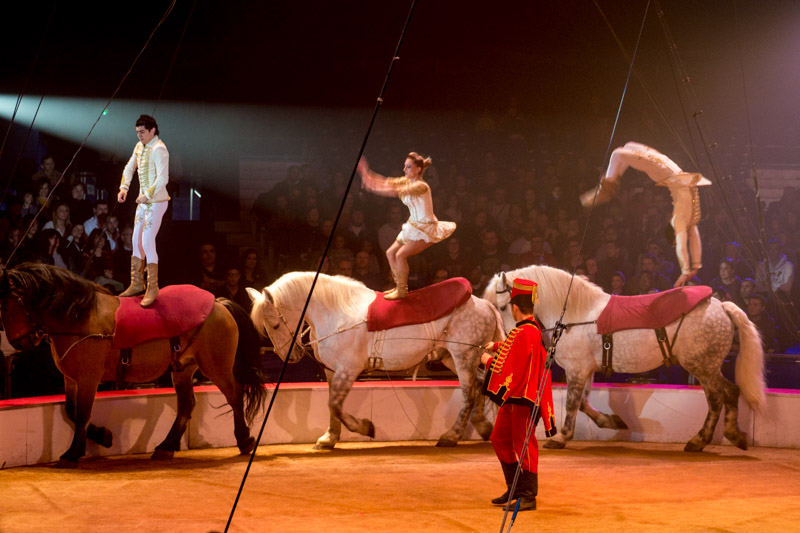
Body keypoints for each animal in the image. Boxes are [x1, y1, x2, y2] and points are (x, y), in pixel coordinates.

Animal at [0, 264, 268, 468]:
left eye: (6, 307)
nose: (18, 342)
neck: (81, 318)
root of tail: (218, 303)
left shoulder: (89, 378)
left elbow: (82, 414)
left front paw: (72, 453)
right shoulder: (72, 379)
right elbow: (71, 410)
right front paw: (102, 436)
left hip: (216, 366)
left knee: (234, 394)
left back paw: (245, 439)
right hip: (183, 367)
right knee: (186, 405)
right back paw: (166, 447)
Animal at [247, 270, 504, 448]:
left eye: (275, 324)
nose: (288, 356)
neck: (337, 313)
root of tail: (485, 304)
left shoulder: (347, 370)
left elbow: (335, 404)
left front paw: (364, 427)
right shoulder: (332, 371)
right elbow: (332, 405)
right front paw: (329, 438)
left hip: (463, 356)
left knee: (469, 394)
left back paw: (451, 435)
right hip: (453, 357)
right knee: (479, 386)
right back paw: (483, 426)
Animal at [484, 264, 764, 448]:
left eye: (503, 306)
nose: (510, 337)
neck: (577, 313)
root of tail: (721, 306)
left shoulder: (576, 369)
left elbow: (573, 403)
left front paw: (561, 437)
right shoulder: (587, 369)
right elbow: (584, 403)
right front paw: (613, 421)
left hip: (702, 366)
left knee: (719, 398)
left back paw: (702, 439)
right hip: (707, 367)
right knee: (728, 393)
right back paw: (729, 435)